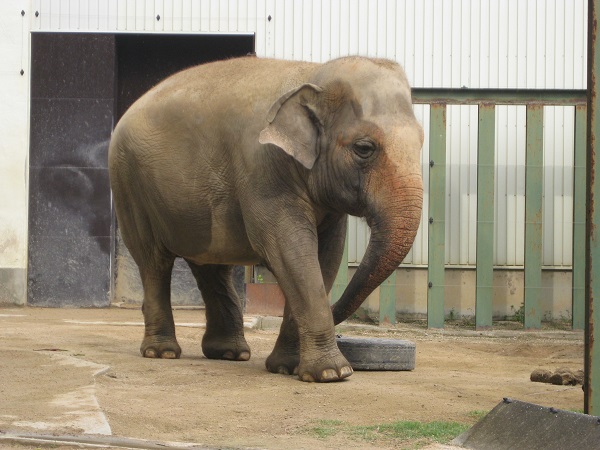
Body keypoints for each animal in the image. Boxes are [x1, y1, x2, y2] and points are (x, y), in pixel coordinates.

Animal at [109, 54, 426, 382]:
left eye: (421, 142)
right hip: (128, 183)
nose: (340, 333)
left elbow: (326, 256)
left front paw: (288, 367)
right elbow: (289, 249)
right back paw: (162, 352)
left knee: (211, 267)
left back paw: (230, 353)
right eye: (364, 148)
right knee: (153, 261)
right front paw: (332, 373)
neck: (313, 74)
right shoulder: (263, 167)